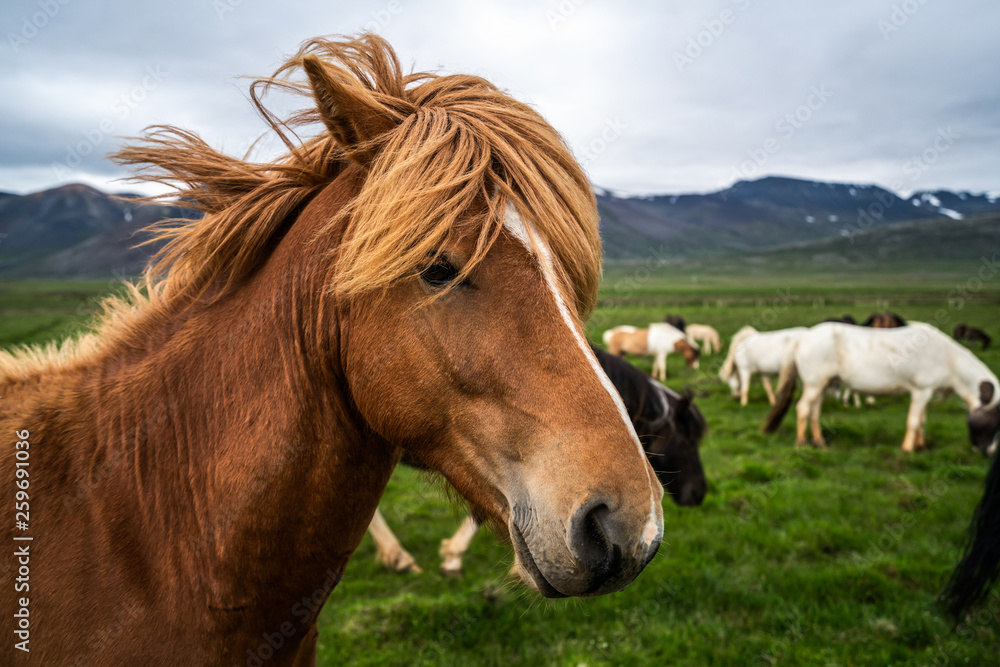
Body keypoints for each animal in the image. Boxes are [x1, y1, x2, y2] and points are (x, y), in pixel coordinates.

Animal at [764, 320, 1000, 452]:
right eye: (994, 423)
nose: (989, 452)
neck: (947, 358)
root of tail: (802, 338)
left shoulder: (926, 393)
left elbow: (922, 420)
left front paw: (921, 446)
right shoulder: (921, 391)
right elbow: (914, 421)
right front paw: (907, 449)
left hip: (823, 384)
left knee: (814, 411)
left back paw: (820, 443)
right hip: (814, 383)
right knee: (803, 408)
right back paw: (801, 443)